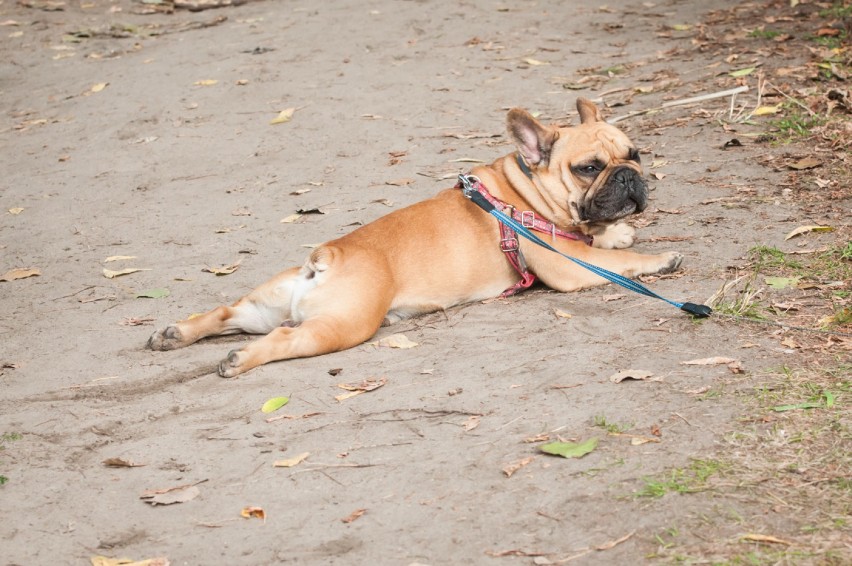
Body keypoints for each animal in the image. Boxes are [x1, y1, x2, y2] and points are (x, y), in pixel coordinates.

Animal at [150, 98, 684, 378]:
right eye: (588, 168)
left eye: (635, 154)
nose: (629, 177)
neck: (522, 192)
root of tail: (327, 257)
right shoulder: (565, 265)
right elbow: (614, 266)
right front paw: (657, 259)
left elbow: (604, 243)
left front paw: (620, 232)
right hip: (344, 324)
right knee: (283, 338)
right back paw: (241, 360)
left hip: (268, 304)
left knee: (228, 313)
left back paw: (176, 333)